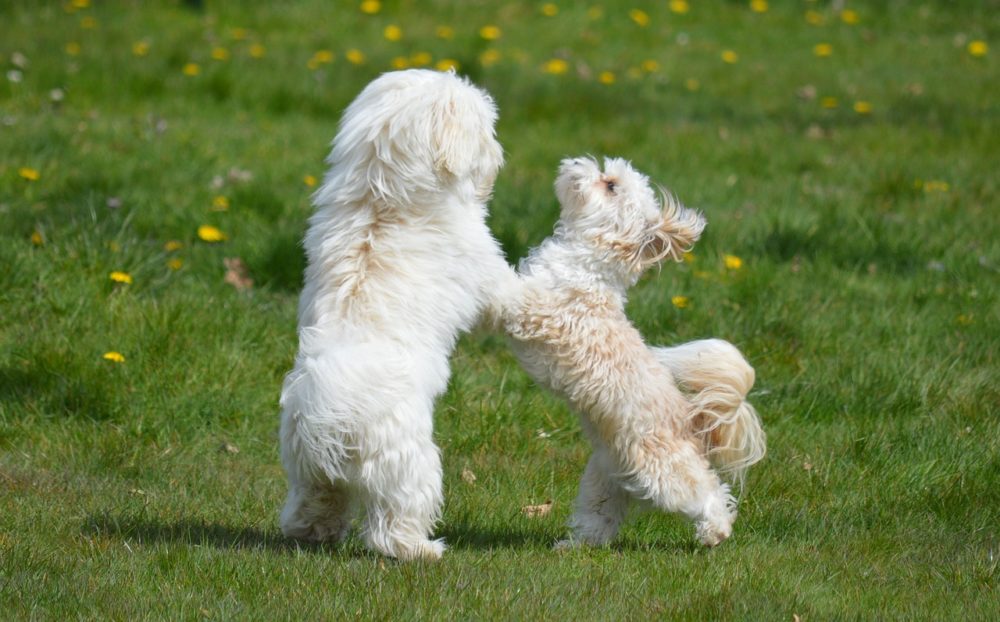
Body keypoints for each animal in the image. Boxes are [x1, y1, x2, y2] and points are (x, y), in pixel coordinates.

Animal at [280, 70, 516, 564]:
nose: (498, 153)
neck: (383, 196)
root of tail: (330, 410)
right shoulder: (489, 277)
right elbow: (516, 294)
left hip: (308, 469)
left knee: (314, 504)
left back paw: (310, 534)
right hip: (408, 465)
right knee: (393, 522)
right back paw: (422, 549)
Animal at [500, 157, 764, 552]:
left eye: (610, 184)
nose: (576, 162)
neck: (590, 259)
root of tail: (691, 423)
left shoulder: (541, 307)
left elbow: (511, 292)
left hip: (664, 473)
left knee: (709, 493)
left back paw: (715, 531)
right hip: (603, 481)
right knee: (599, 522)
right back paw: (575, 547)